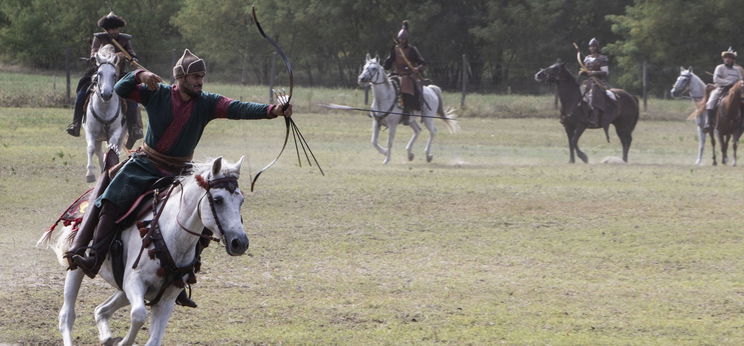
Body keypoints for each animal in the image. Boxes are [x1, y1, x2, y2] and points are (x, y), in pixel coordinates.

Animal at [38, 157, 250, 346]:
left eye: (241, 200)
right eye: (218, 199)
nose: (240, 243)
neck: (171, 235)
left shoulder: (166, 299)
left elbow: (153, 339)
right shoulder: (134, 281)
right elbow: (139, 315)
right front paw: (123, 343)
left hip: (125, 289)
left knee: (101, 310)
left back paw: (107, 338)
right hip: (78, 266)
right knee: (67, 316)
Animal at [85, 44, 125, 182]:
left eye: (114, 74)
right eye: (99, 73)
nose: (106, 94)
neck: (105, 108)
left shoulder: (116, 131)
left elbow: (112, 149)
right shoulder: (91, 131)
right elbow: (91, 148)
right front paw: (90, 174)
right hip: (98, 137)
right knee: (97, 151)